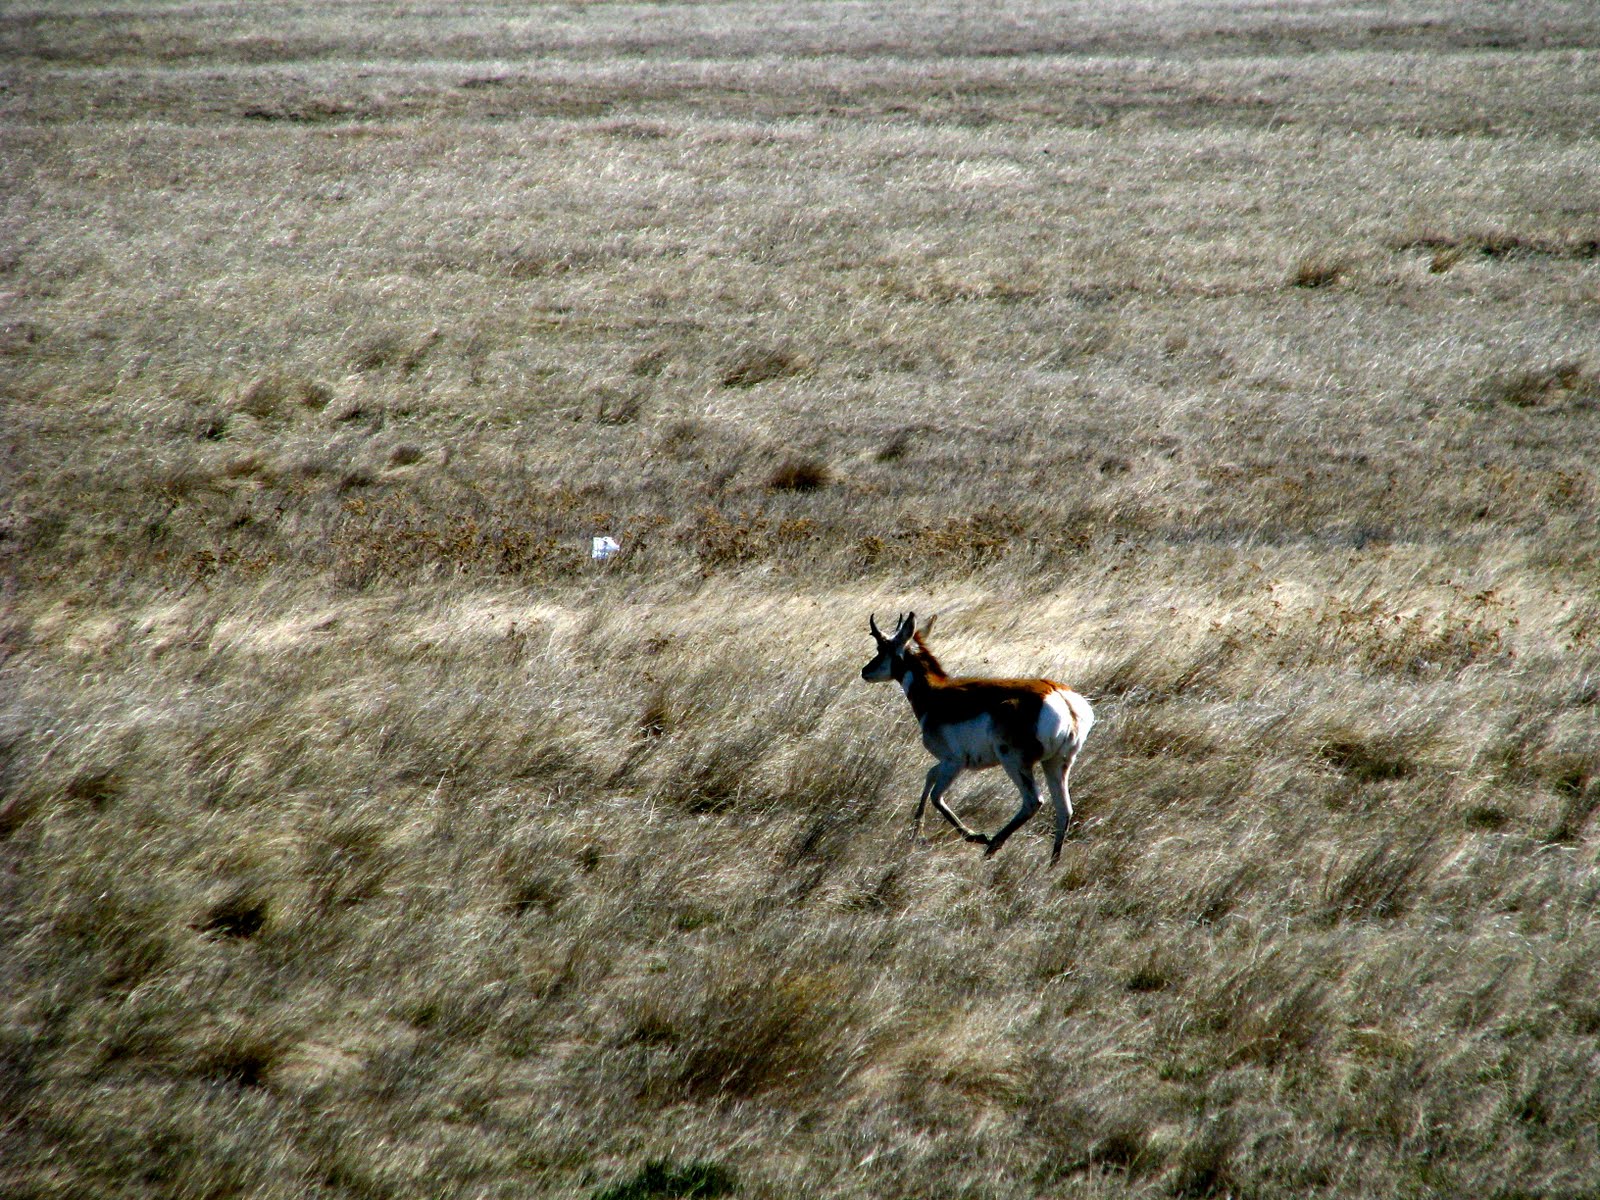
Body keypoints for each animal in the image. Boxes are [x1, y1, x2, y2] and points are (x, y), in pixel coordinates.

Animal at [861, 612, 1094, 863]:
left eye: (881, 647)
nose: (865, 671)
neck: (934, 694)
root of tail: (1059, 696)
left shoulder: (954, 763)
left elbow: (936, 796)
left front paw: (976, 836)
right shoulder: (945, 763)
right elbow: (929, 776)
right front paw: (915, 832)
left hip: (1014, 763)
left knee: (1033, 801)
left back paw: (991, 846)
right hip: (1056, 763)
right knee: (1064, 810)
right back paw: (1051, 863)